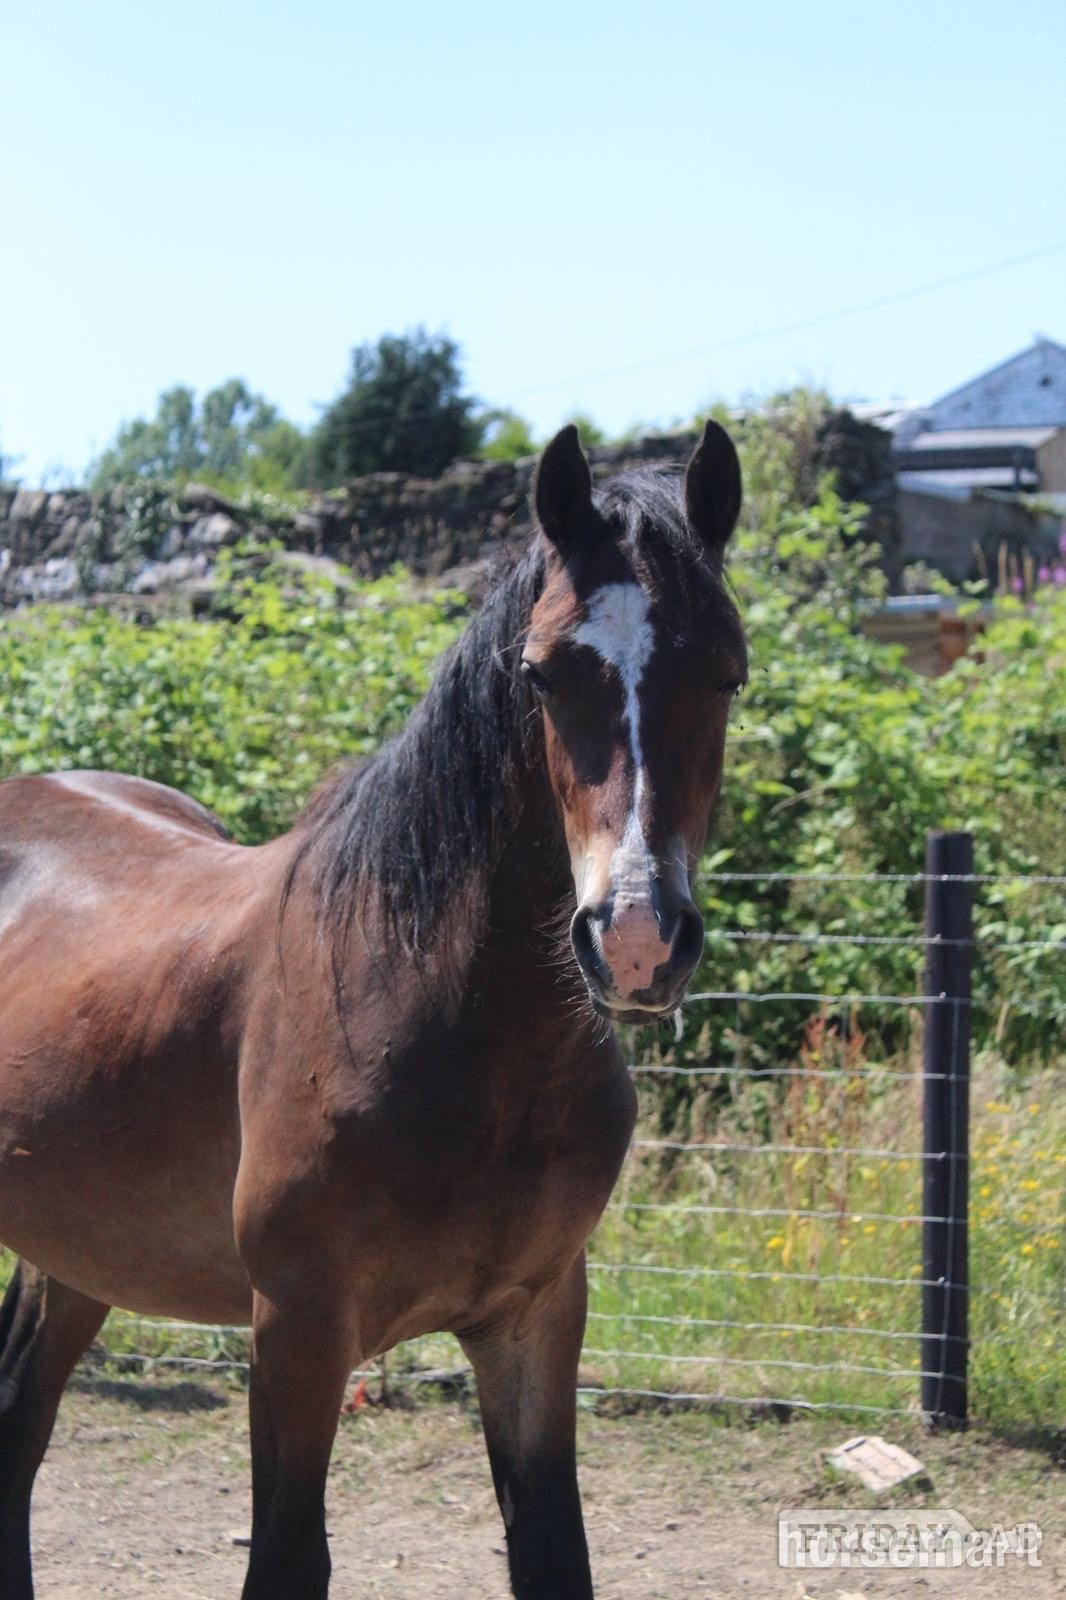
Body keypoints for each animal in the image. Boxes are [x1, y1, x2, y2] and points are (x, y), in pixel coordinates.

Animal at [0, 420, 747, 1599]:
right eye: (542, 672)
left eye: (726, 672)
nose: (634, 937)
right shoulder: (299, 1331)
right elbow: (287, 1558)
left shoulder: (537, 1320)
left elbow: (553, 1554)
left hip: (73, 1254)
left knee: (19, 1424)